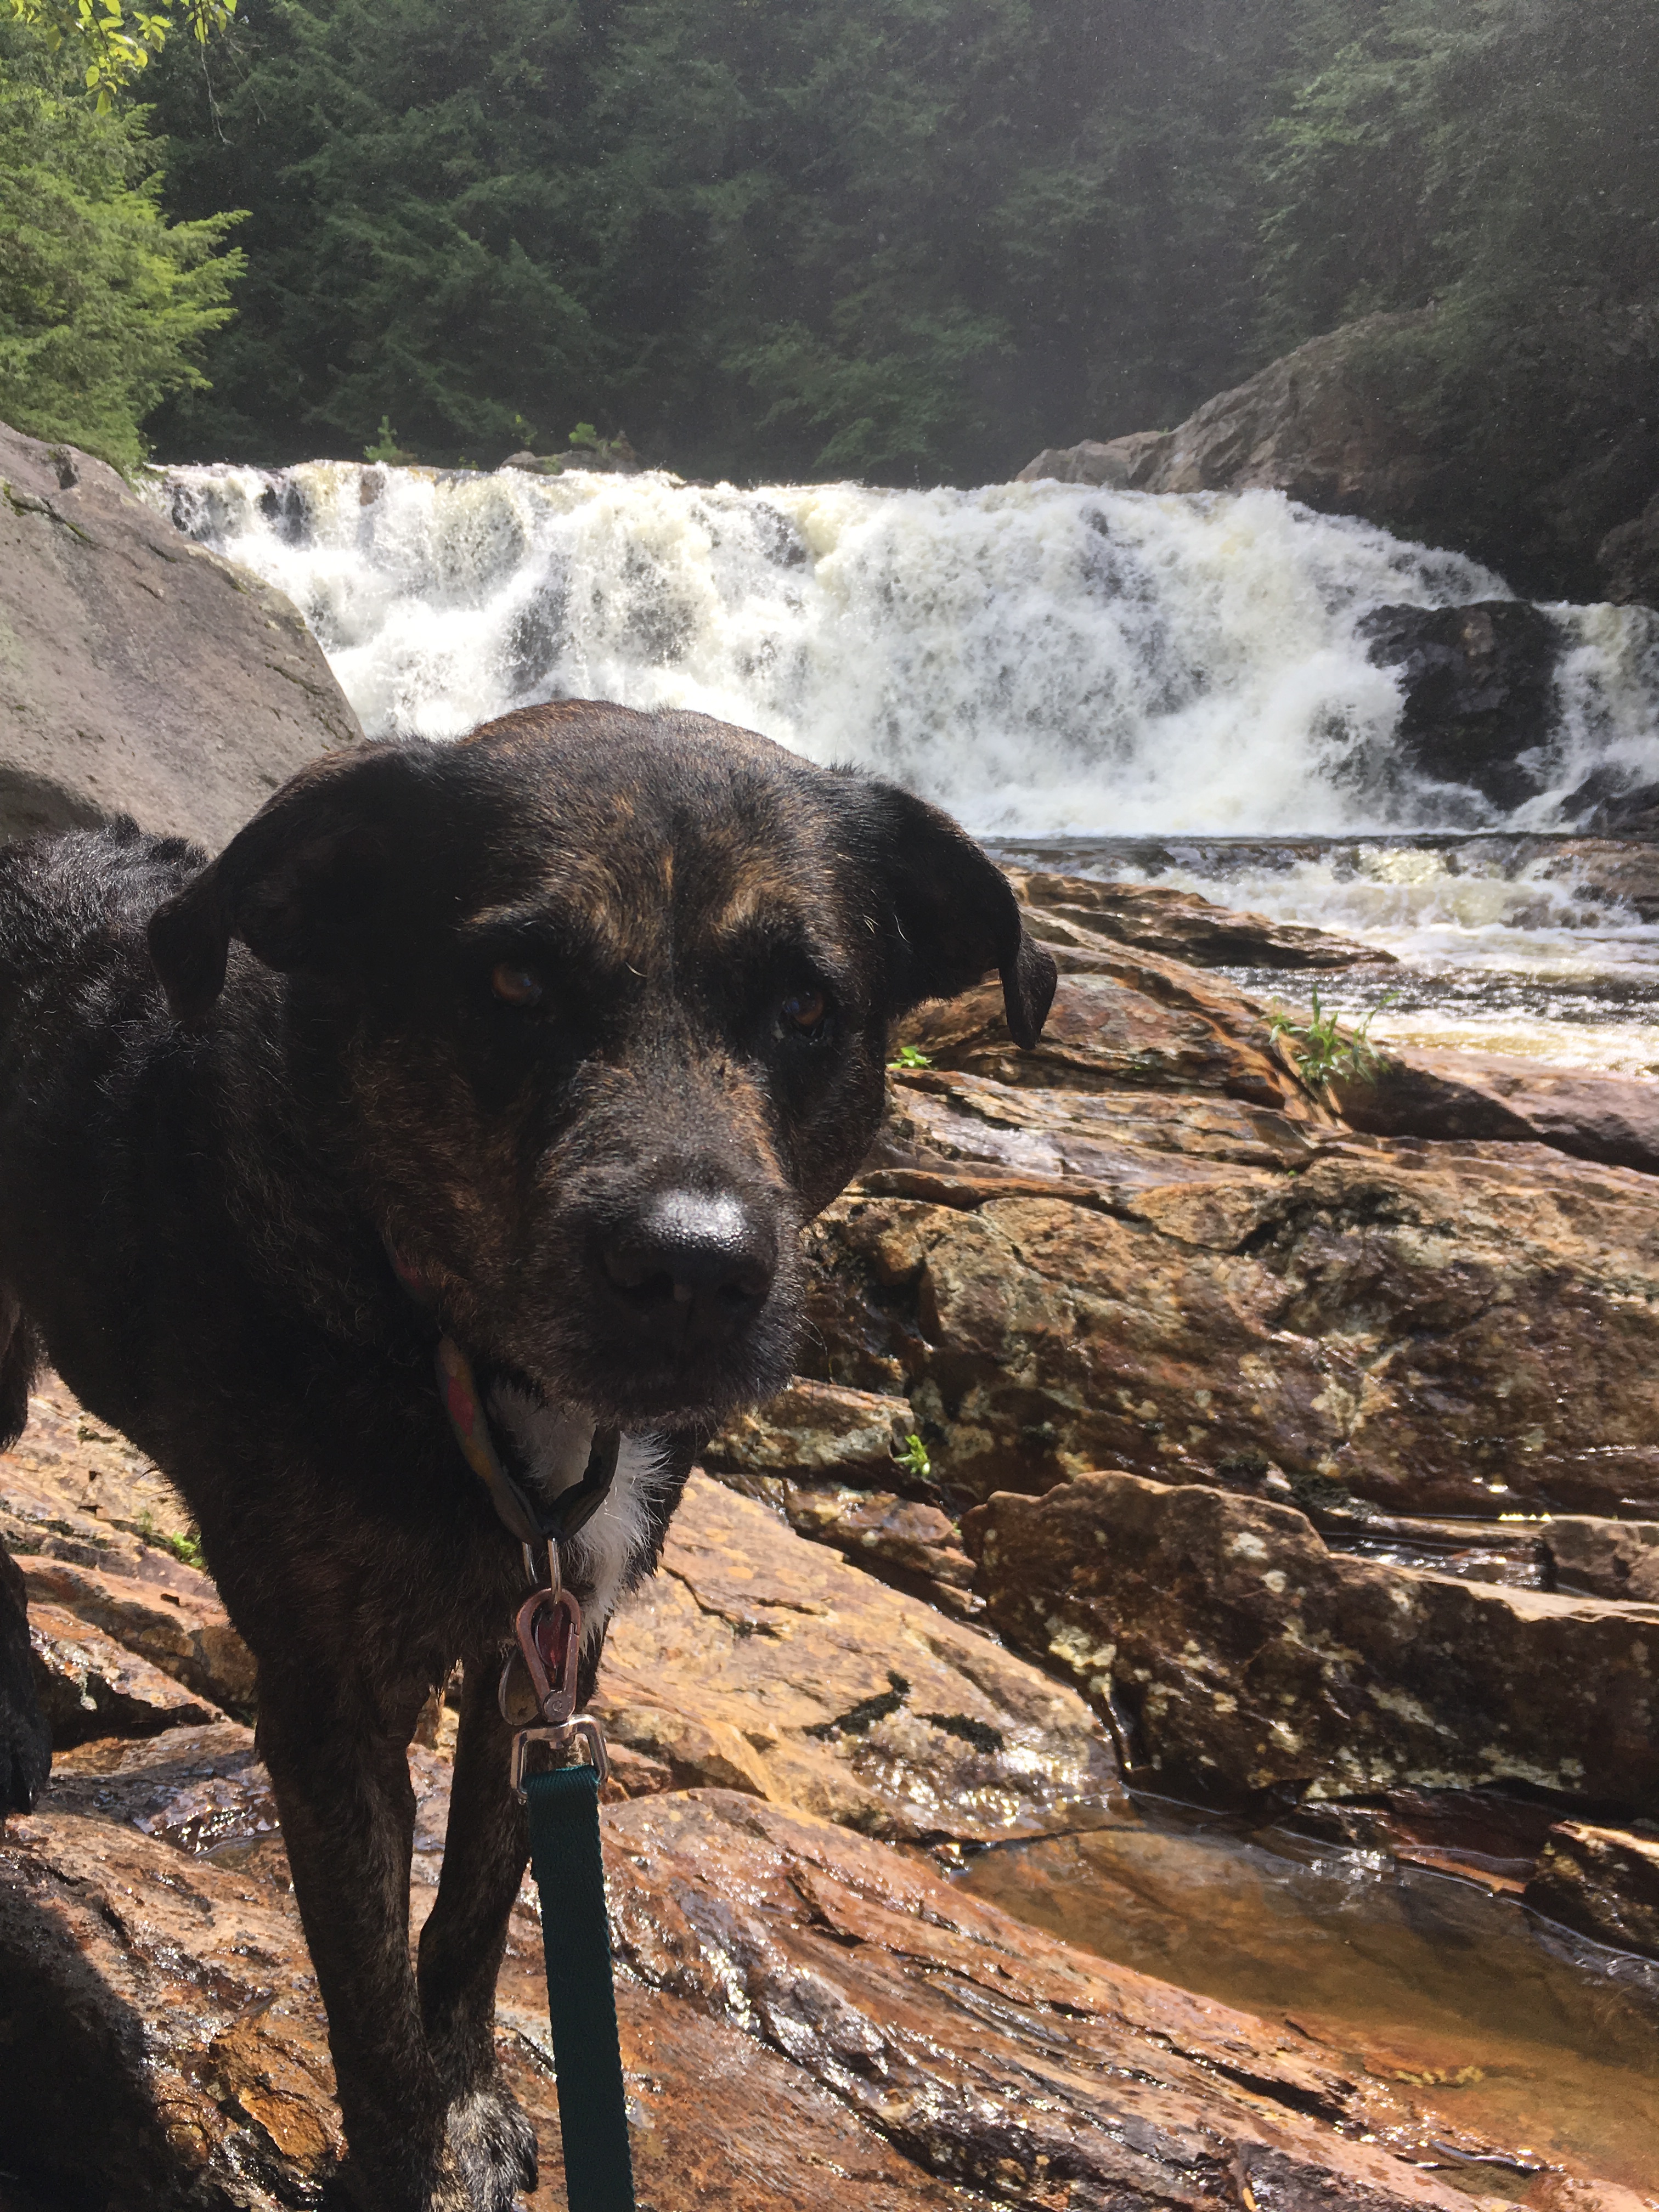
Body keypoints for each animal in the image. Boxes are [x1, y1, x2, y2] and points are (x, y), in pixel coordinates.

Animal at [0, 699, 1055, 2210]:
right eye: (513, 982)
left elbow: (477, 1917)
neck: (454, 1346)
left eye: (807, 1008)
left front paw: (473, 2099)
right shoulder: (332, 1712)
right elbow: (368, 1998)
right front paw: (408, 2158)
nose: (692, 1272)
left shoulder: (551, 1649)